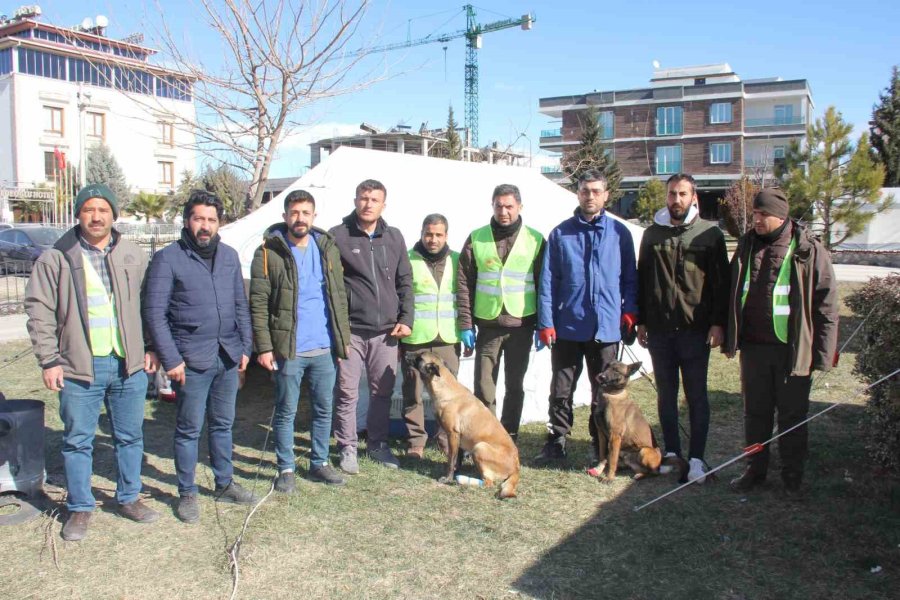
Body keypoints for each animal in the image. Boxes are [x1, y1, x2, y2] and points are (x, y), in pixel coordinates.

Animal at [410, 352, 520, 496]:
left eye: (419, 357)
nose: (405, 354)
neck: (445, 387)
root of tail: (516, 468)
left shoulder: (452, 435)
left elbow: (451, 460)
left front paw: (448, 478)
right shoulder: (459, 438)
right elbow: (458, 460)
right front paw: (455, 472)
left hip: (479, 448)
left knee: (488, 483)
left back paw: (462, 481)